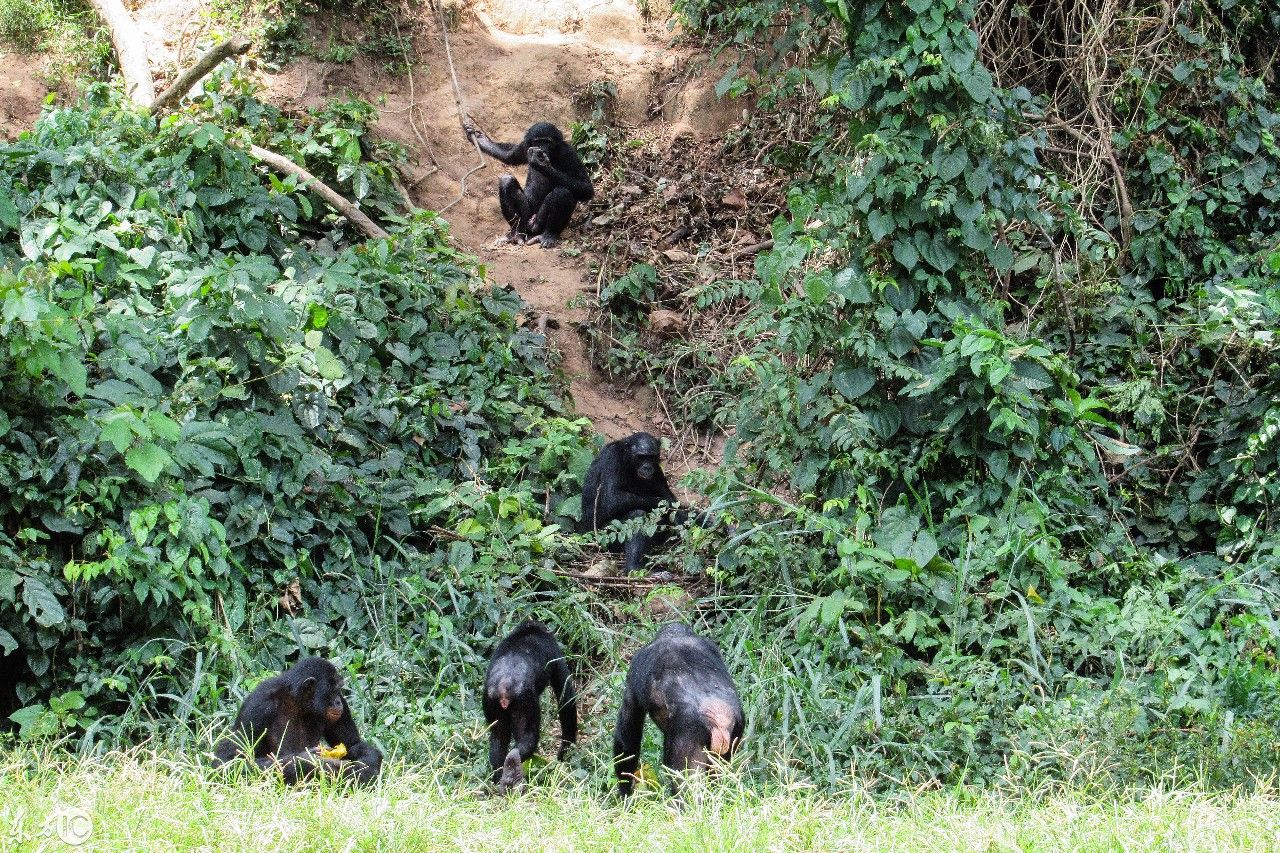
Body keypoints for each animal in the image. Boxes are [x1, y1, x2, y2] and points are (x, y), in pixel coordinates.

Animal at [208, 655, 378, 783]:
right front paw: (308, 760)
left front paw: (365, 767)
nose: (337, 701)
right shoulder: (258, 706)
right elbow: (227, 760)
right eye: (334, 690)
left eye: (339, 690)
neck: (298, 702)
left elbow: (352, 744)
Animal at [465, 119, 593, 247]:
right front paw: (478, 137)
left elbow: (586, 187)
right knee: (507, 182)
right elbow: (509, 155)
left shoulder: (568, 153)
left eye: (547, 142)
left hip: (538, 224)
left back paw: (548, 236)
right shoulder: (524, 146)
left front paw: (542, 164)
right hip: (526, 218)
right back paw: (516, 233)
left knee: (563, 192)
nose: (542, 148)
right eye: (538, 141)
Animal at [481, 617, 578, 788]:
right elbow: (565, 694)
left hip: (490, 700)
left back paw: (500, 778)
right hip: (524, 701)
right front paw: (565, 752)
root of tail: (503, 687)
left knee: (498, 738)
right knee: (528, 737)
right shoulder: (554, 651)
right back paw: (513, 765)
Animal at [581, 432, 691, 571]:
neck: (628, 461)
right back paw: (634, 567)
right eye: (641, 457)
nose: (647, 467)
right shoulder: (612, 458)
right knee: (636, 515)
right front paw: (667, 505)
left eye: (651, 457)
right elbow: (613, 497)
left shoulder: (657, 470)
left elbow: (668, 496)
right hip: (603, 538)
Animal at [611, 617, 747, 788]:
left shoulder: (634, 668)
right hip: (735, 729)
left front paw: (625, 788)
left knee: (686, 782)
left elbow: (628, 729)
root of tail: (718, 720)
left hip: (687, 737)